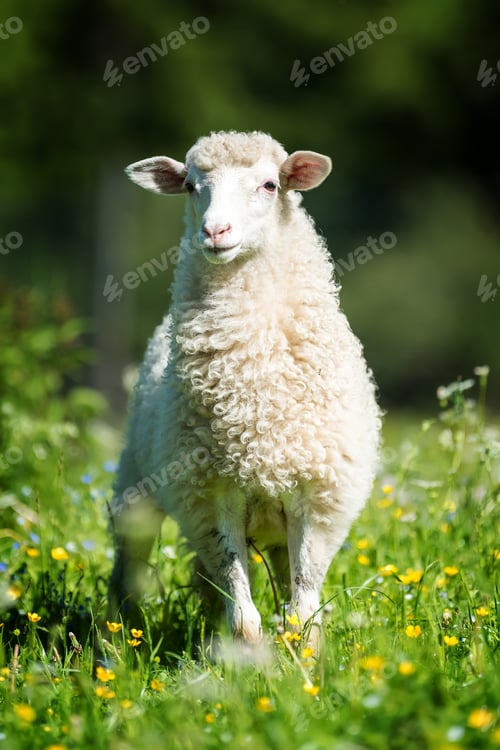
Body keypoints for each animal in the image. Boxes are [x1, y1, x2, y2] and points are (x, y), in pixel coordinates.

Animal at [108, 130, 381, 649]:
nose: (215, 232)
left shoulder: (316, 496)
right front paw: (247, 659)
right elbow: (242, 610)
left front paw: (305, 661)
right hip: (136, 486)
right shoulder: (211, 494)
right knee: (130, 565)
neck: (252, 401)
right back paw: (118, 638)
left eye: (270, 185)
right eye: (190, 186)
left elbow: (303, 603)